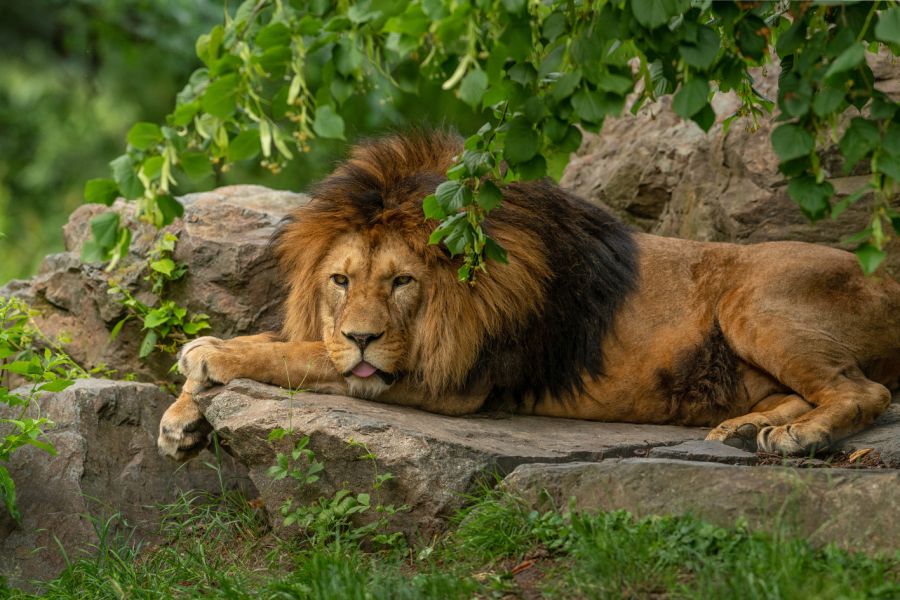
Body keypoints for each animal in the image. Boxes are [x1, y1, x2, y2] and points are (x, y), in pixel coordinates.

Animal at [158, 130, 900, 460]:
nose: (364, 335)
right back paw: (748, 427)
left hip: (754, 304)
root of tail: (884, 278)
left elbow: (302, 355)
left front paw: (210, 354)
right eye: (339, 280)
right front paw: (181, 416)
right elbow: (295, 342)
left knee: (866, 391)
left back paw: (798, 437)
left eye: (402, 282)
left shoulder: (448, 378)